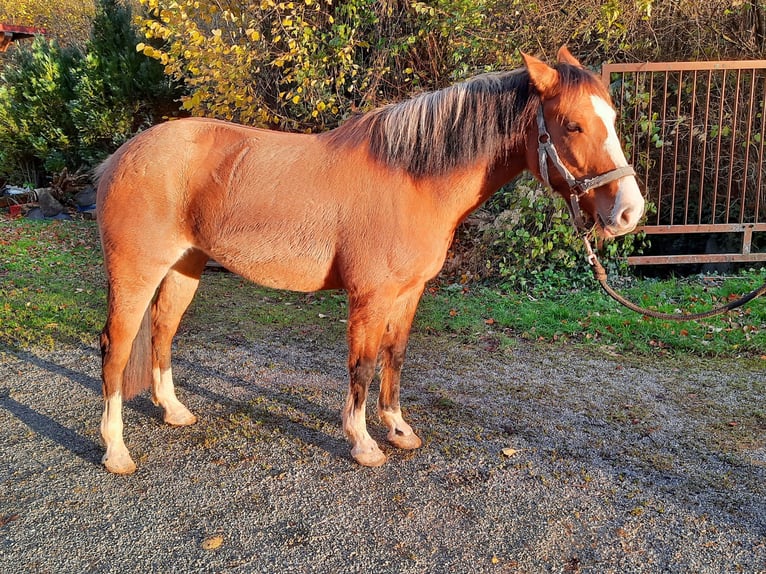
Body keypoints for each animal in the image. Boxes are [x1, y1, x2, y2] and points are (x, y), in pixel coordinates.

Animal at [96, 47, 648, 474]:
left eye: (612, 120)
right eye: (572, 125)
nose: (629, 212)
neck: (412, 178)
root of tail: (121, 156)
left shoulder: (408, 293)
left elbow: (394, 357)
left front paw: (398, 430)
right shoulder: (370, 296)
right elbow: (361, 366)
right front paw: (362, 444)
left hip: (183, 269)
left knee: (162, 333)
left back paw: (174, 412)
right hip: (135, 275)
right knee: (117, 349)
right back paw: (116, 451)